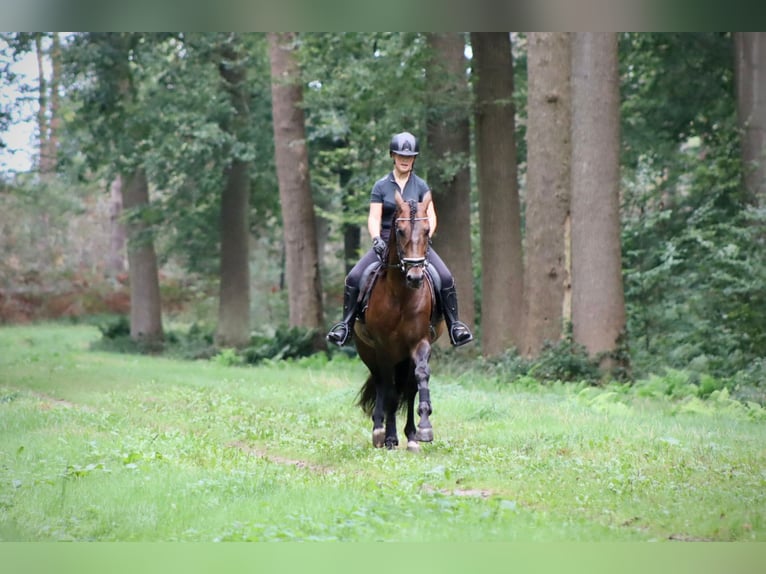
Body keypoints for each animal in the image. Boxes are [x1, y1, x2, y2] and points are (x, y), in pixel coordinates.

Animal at [353, 190, 444, 452]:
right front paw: (391, 438)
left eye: (427, 230)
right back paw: (379, 431)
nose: (414, 276)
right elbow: (391, 392)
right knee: (382, 384)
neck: (402, 295)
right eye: (400, 231)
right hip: (369, 352)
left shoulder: (419, 343)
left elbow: (418, 380)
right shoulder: (384, 348)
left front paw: (422, 430)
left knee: (405, 386)